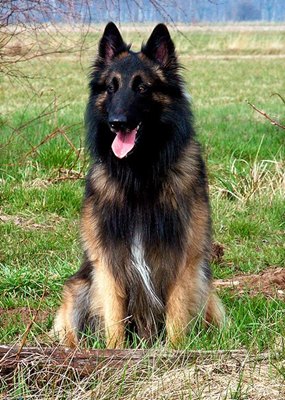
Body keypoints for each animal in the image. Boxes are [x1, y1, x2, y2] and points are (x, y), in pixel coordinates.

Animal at [52, 21, 223, 348]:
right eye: (111, 87)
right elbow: (114, 320)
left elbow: (176, 318)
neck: (139, 174)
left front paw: (176, 353)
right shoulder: (107, 263)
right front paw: (114, 353)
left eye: (142, 88)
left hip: (207, 294)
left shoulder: (184, 260)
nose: (117, 122)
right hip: (78, 289)